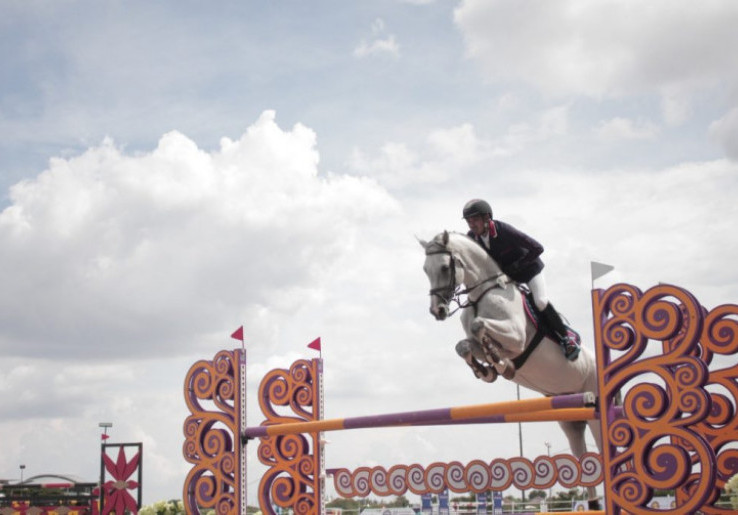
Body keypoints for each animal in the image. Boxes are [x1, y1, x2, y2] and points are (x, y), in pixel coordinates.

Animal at [416, 232, 600, 506]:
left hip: (595, 407)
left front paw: (501, 362)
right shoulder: (476, 342)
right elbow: (465, 345)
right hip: (570, 419)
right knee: (584, 462)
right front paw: (488, 370)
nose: (437, 311)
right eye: (425, 269)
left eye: (445, 267)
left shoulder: (516, 338)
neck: (481, 294)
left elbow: (481, 327)